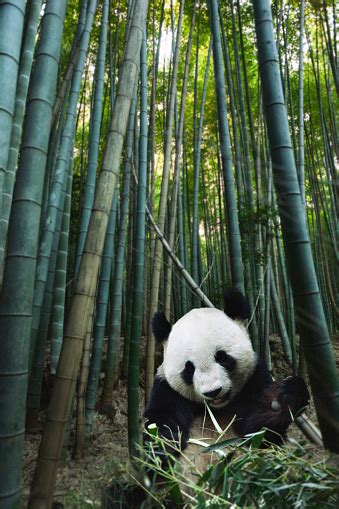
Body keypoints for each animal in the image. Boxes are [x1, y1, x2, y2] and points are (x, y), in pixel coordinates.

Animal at [144, 288, 310, 470]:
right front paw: (161, 448)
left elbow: (258, 433)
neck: (217, 408)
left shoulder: (254, 378)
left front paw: (282, 400)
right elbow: (161, 422)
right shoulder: (167, 389)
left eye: (222, 357)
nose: (213, 392)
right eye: (189, 368)